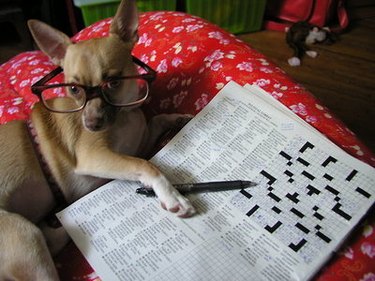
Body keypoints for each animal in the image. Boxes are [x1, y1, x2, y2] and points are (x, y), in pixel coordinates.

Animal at [0, 1, 195, 278]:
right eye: (73, 89)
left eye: (113, 82)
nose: (91, 125)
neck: (124, 114)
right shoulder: (96, 157)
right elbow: (146, 165)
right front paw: (172, 195)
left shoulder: (136, 144)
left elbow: (156, 122)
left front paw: (177, 118)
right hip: (23, 235)